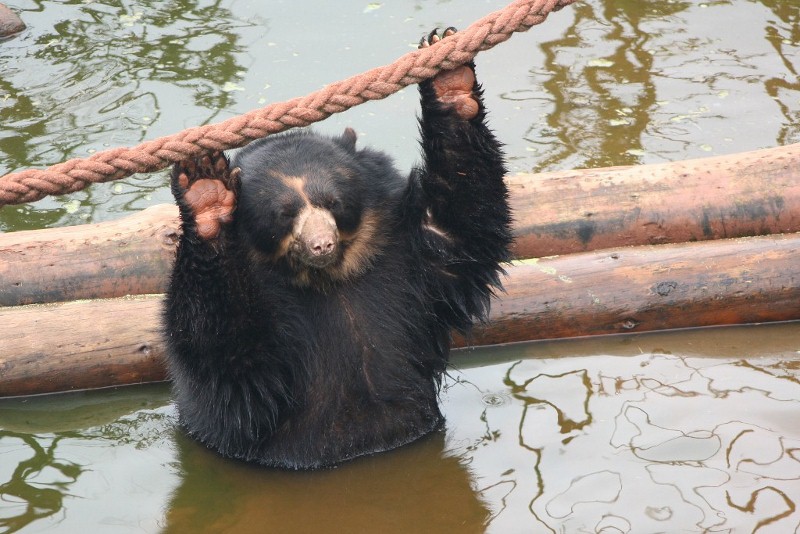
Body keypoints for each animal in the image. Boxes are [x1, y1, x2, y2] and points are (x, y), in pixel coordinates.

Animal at [163, 27, 512, 469]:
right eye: (284, 214)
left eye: (332, 201)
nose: (321, 244)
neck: (330, 278)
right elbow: (221, 343)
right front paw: (205, 191)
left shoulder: (409, 258)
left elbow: (459, 227)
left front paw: (449, 77)